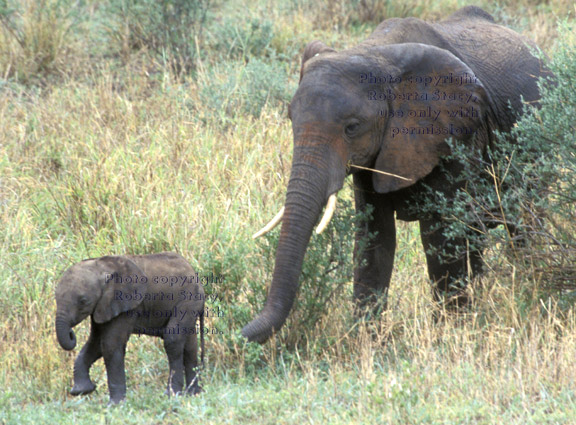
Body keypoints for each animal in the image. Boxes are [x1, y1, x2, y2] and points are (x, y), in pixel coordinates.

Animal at [54, 252, 206, 404]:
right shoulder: (103, 306)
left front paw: (115, 404)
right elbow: (96, 344)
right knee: (190, 345)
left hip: (188, 300)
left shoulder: (126, 305)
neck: (101, 267)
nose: (71, 333)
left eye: (83, 301)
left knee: (173, 339)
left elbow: (110, 345)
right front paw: (82, 391)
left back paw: (172, 395)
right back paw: (193, 394)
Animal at [243, 5, 548, 344]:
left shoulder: (453, 135)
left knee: (523, 223)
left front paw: (449, 334)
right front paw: (366, 340)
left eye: (352, 127)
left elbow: (440, 235)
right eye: (290, 118)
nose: (240, 334)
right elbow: (374, 237)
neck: (373, 52)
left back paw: (529, 288)